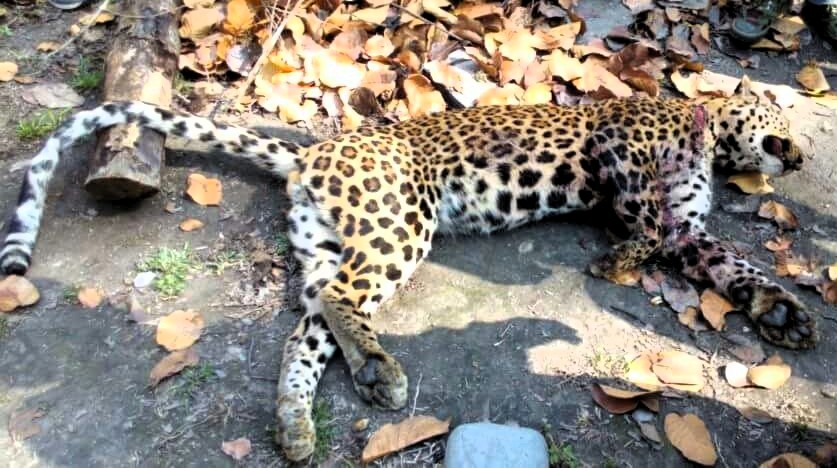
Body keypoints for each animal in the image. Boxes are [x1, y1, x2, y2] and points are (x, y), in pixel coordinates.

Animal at [0, 76, 817, 461]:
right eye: (781, 122)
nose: (804, 155)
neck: (702, 134)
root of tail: (312, 151)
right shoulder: (621, 145)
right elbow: (643, 219)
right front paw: (615, 263)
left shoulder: (690, 231)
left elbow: (731, 262)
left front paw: (782, 312)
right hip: (398, 224)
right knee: (338, 298)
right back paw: (380, 374)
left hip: (334, 242)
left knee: (308, 326)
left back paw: (304, 420)